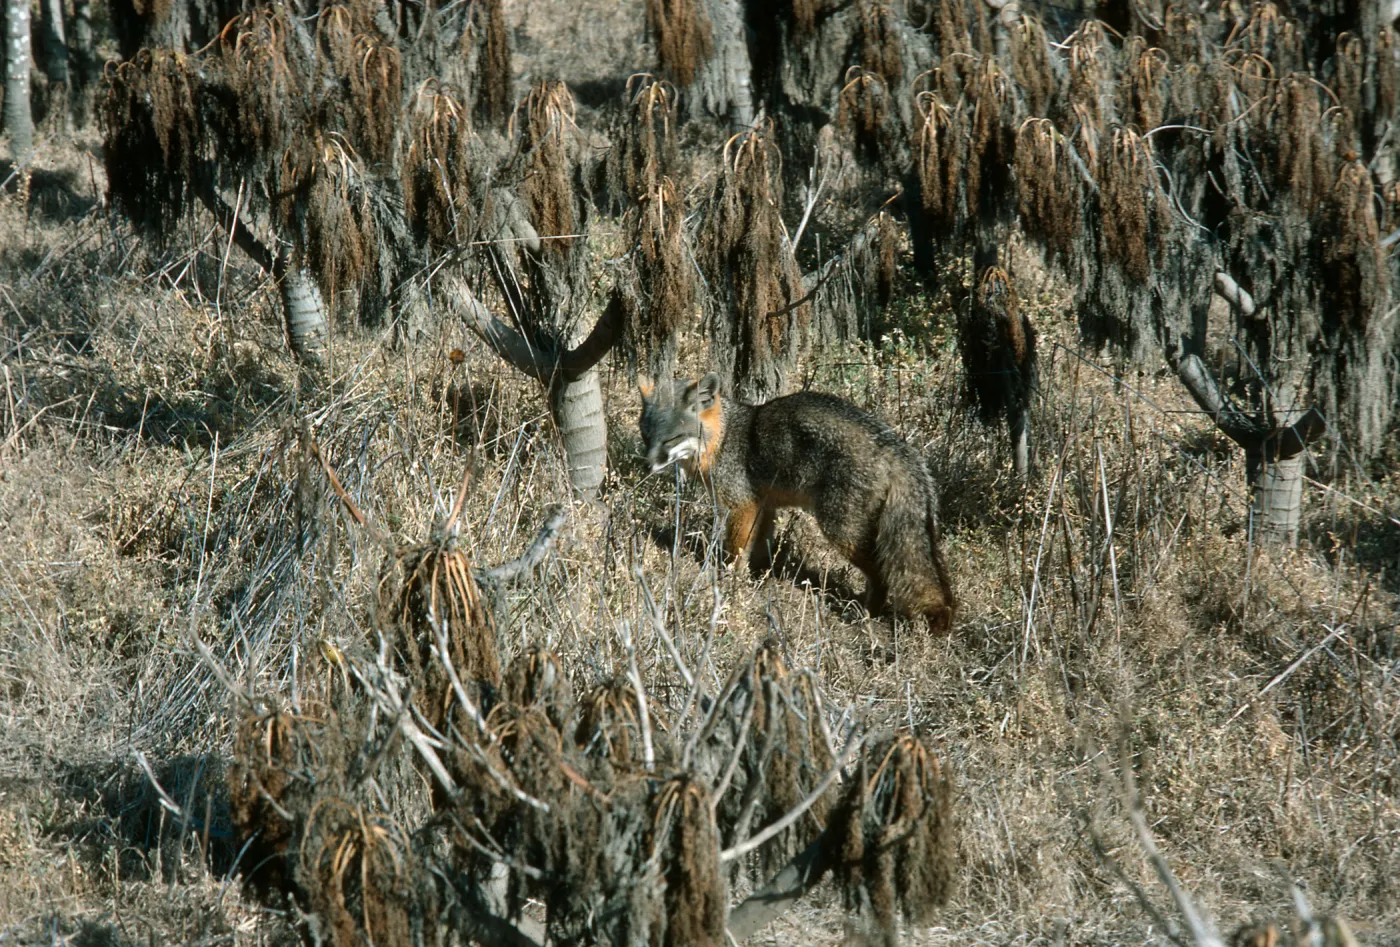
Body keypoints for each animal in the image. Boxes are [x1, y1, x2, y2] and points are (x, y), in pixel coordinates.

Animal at [638, 373, 956, 634]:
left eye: (671, 439)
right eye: (646, 436)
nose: (647, 466)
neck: (725, 438)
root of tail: (894, 446)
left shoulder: (741, 506)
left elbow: (736, 552)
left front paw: (731, 582)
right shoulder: (764, 505)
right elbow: (761, 548)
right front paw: (760, 579)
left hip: (841, 531)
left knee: (881, 572)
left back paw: (866, 613)